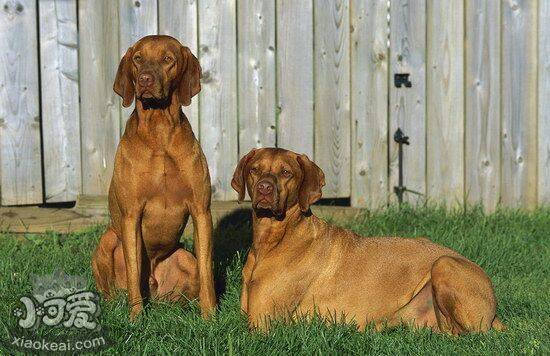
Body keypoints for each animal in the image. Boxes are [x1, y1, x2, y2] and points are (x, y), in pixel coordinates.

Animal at [92, 35, 216, 320]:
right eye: (138, 58)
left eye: (167, 59)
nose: (145, 79)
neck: (159, 131)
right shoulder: (131, 215)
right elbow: (133, 268)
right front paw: (136, 318)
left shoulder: (201, 211)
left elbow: (207, 271)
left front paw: (210, 316)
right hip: (108, 240)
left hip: (185, 258)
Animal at [231, 147, 506, 334]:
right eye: (255, 169)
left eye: (286, 172)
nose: (264, 188)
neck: (271, 241)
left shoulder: (262, 324)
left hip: (444, 264)